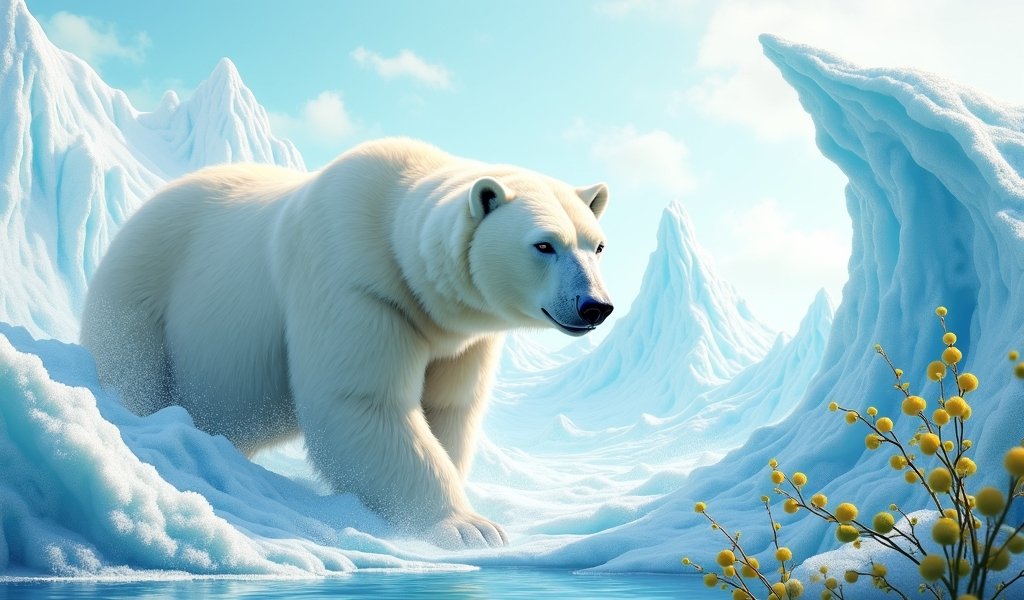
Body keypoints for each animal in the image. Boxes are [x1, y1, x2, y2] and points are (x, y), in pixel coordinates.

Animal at [80, 138, 614, 548]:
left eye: (597, 244)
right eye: (544, 244)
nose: (595, 306)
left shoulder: (461, 338)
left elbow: (449, 408)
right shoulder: (356, 285)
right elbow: (365, 404)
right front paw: (471, 529)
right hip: (143, 293)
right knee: (133, 370)